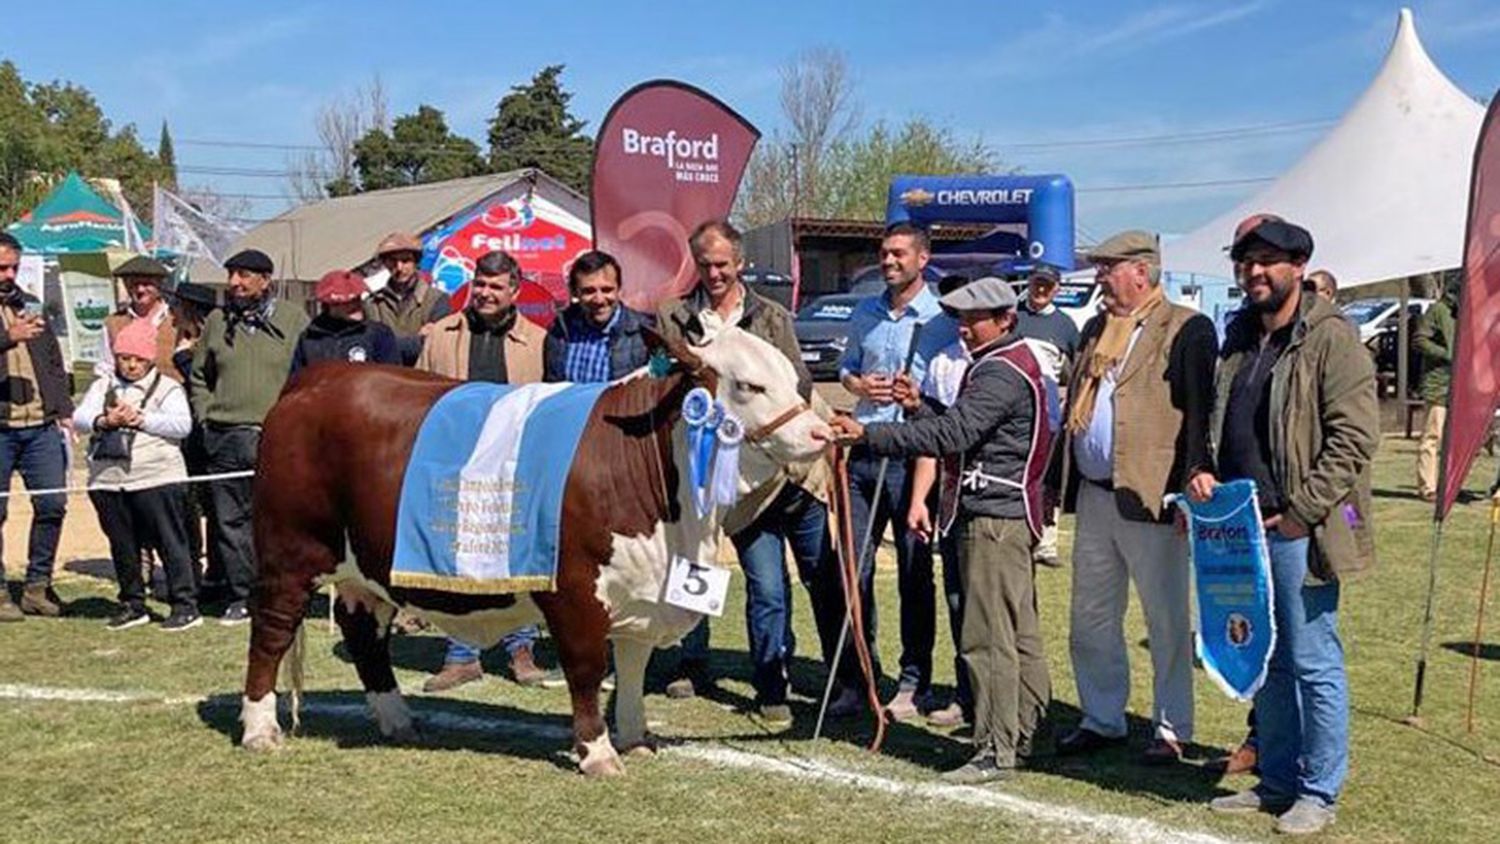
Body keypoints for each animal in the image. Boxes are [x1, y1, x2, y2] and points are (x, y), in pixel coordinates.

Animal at [238, 326, 828, 773]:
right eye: (749, 385)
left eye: (791, 376)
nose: (823, 433)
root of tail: (318, 379)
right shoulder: (575, 590)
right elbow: (588, 668)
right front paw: (597, 752)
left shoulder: (640, 591)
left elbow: (632, 666)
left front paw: (636, 737)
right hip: (290, 553)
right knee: (271, 631)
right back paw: (259, 728)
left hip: (366, 570)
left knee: (364, 636)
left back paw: (396, 718)